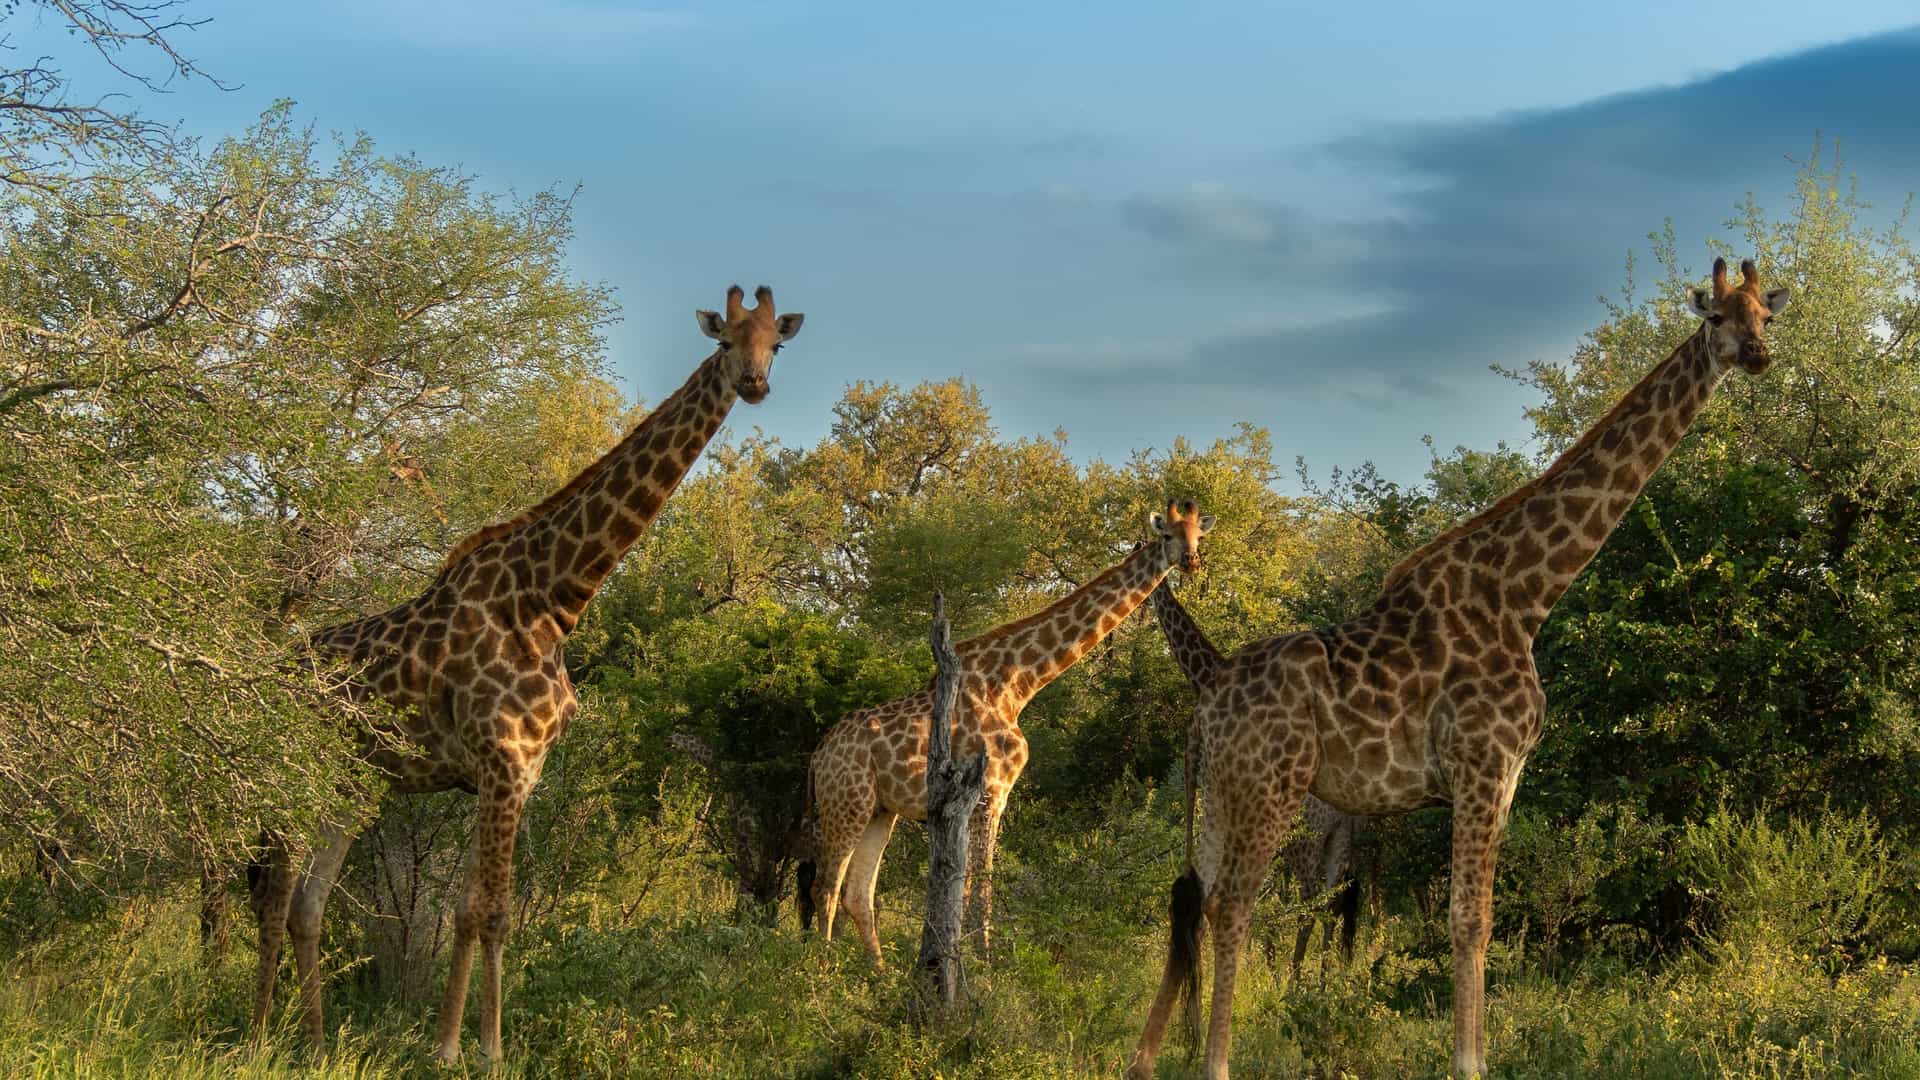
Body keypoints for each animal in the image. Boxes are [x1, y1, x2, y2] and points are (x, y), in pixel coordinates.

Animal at [249, 285, 803, 1063]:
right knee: (272, 900)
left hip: (352, 786)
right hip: (292, 774)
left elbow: (484, 910)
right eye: (725, 340)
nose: (753, 384)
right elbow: (482, 911)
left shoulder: (522, 769)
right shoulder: (499, 761)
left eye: (775, 345)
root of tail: (278, 670)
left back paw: (317, 1042)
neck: (553, 601)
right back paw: (256, 1037)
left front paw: (479, 1047)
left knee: (308, 903)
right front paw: (461, 1050)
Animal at [802, 501, 1215, 963]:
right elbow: (979, 886)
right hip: (847, 803)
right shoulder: (990, 792)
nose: (1191, 561)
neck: (1018, 683)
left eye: (1199, 535)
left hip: (879, 810)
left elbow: (969, 886)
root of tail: (818, 755)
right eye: (1168, 535)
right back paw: (818, 971)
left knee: (857, 893)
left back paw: (879, 973)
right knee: (825, 888)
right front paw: (982, 962)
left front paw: (964, 958)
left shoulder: (980, 798)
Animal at [1146, 579, 1362, 978]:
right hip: (1338, 840)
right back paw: (1325, 980)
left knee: (1311, 904)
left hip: (1306, 845)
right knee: (1332, 902)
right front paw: (1265, 967)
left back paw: (1296, 983)